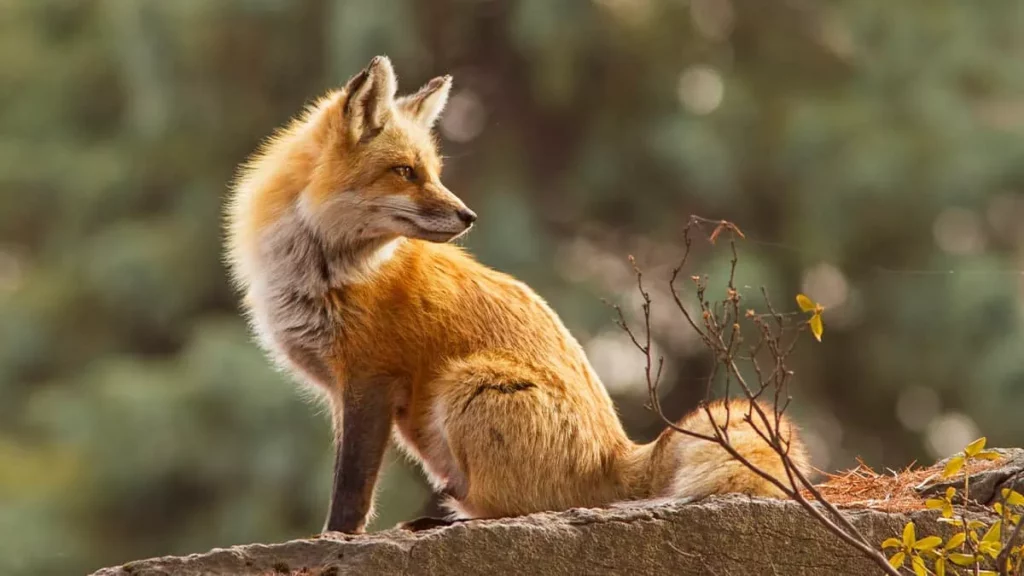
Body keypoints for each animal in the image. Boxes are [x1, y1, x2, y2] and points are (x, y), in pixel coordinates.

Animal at [224, 56, 806, 532]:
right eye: (405, 172)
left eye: (433, 172)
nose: (469, 216)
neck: (327, 268)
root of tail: (617, 453)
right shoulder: (345, 391)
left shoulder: (370, 378)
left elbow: (350, 491)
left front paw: (336, 540)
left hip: (468, 385)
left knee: (528, 511)